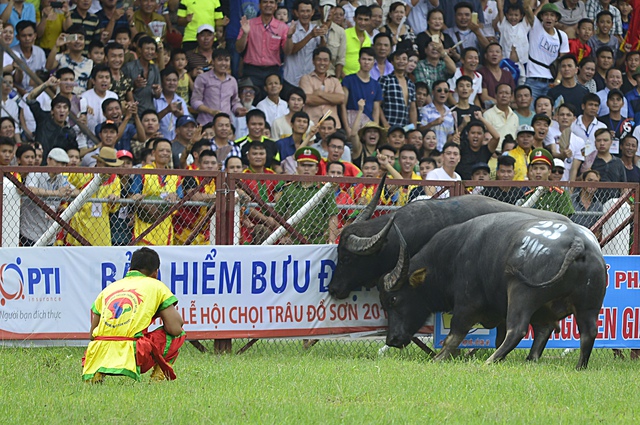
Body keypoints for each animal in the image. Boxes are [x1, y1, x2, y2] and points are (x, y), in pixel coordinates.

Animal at [380, 212, 604, 368]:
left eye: (393, 299)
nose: (392, 339)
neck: (450, 256)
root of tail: (577, 242)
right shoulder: (499, 313)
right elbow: (499, 336)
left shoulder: (466, 305)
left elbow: (454, 335)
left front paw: (438, 358)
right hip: (587, 305)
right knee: (583, 332)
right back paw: (569, 365)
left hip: (521, 293)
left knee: (519, 329)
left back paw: (490, 361)